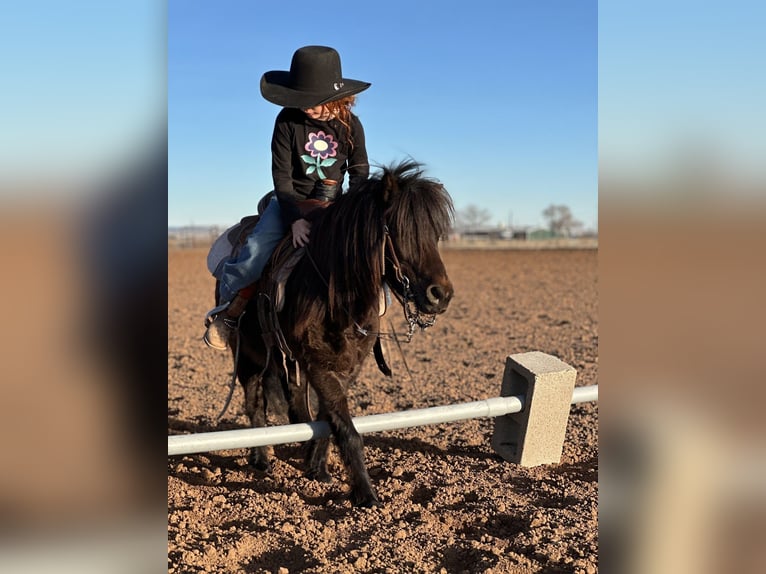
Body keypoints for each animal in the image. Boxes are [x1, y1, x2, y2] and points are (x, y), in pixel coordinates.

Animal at [228, 160, 454, 507]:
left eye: (436, 233)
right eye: (400, 230)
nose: (440, 295)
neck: (335, 298)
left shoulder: (347, 365)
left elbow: (326, 419)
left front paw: (317, 467)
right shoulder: (317, 363)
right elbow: (346, 429)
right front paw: (365, 493)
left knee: (294, 403)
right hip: (249, 359)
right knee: (255, 406)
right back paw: (262, 458)